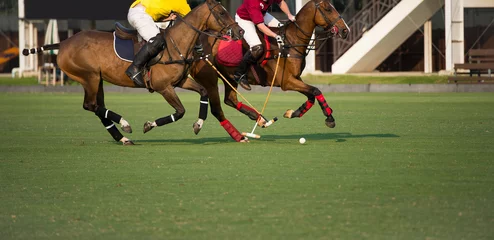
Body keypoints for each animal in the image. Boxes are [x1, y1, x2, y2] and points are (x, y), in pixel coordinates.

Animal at [23, 0, 243, 145]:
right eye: (221, 13)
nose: (240, 32)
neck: (176, 44)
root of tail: (63, 43)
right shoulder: (163, 87)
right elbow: (180, 111)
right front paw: (149, 125)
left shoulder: (179, 82)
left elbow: (203, 92)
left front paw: (198, 125)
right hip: (89, 77)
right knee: (91, 105)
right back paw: (125, 124)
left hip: (96, 80)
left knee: (96, 106)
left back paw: (123, 137)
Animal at [188, 0, 348, 141]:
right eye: (328, 9)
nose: (345, 30)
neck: (291, 41)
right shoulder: (287, 82)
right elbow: (316, 90)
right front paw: (330, 118)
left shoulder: (296, 78)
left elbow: (311, 96)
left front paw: (292, 113)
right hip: (210, 79)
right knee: (217, 107)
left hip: (229, 77)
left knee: (230, 100)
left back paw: (260, 119)